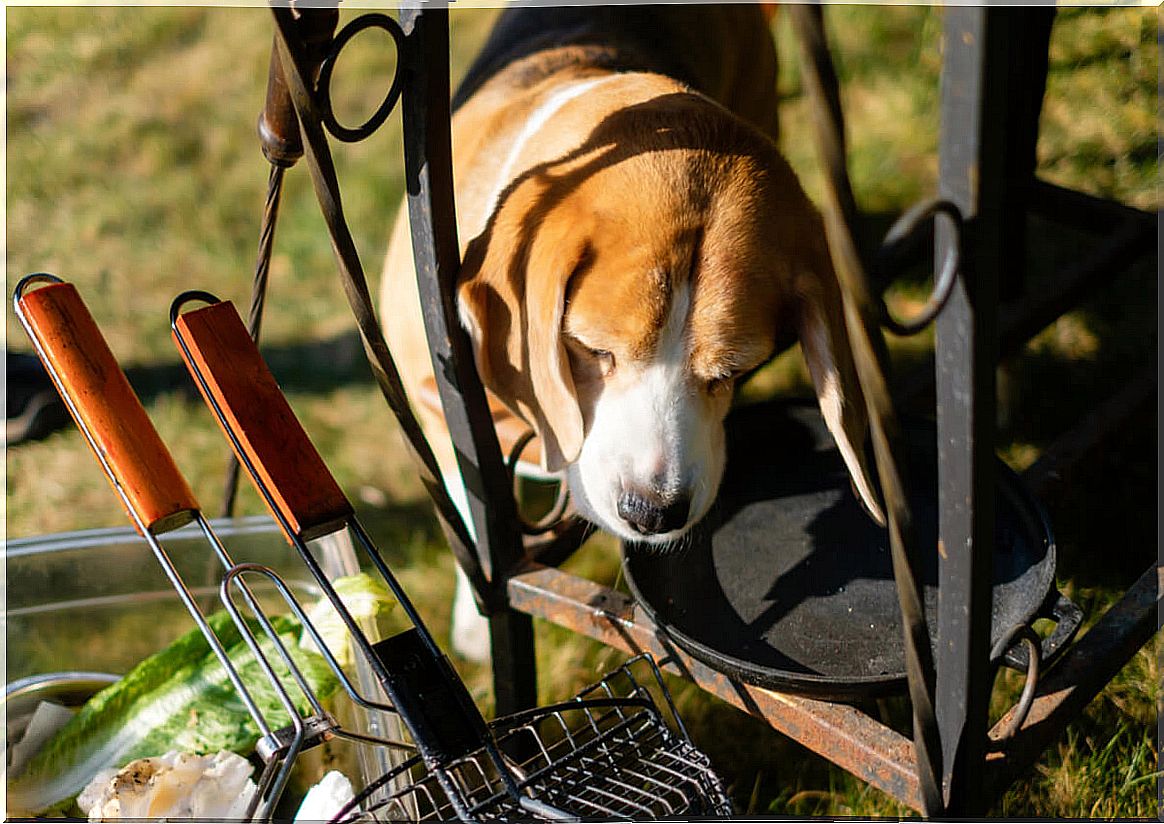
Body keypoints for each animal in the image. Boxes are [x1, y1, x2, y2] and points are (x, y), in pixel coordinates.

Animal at [381, 3, 879, 656]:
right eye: (593, 351)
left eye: (735, 370)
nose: (651, 513)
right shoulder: (435, 405)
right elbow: (473, 501)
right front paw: (475, 623)